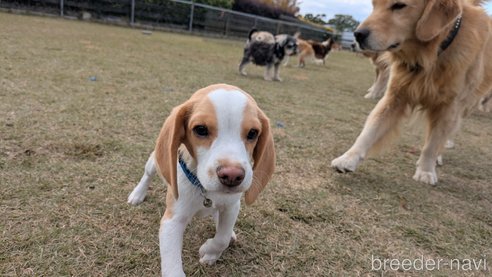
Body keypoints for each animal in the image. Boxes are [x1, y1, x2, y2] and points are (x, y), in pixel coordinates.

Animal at [128, 83, 276, 274]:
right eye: (201, 129)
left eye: (253, 133)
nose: (232, 175)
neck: (206, 190)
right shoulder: (172, 220)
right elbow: (173, 269)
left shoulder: (232, 207)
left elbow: (222, 237)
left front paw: (209, 252)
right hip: (155, 162)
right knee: (148, 174)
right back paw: (137, 194)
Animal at [330, 0, 492, 185]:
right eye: (373, 5)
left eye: (399, 5)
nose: (357, 35)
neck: (431, 56)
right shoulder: (394, 97)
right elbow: (369, 131)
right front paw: (348, 158)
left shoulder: (449, 107)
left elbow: (432, 144)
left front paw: (426, 171)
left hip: (467, 104)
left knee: (448, 132)